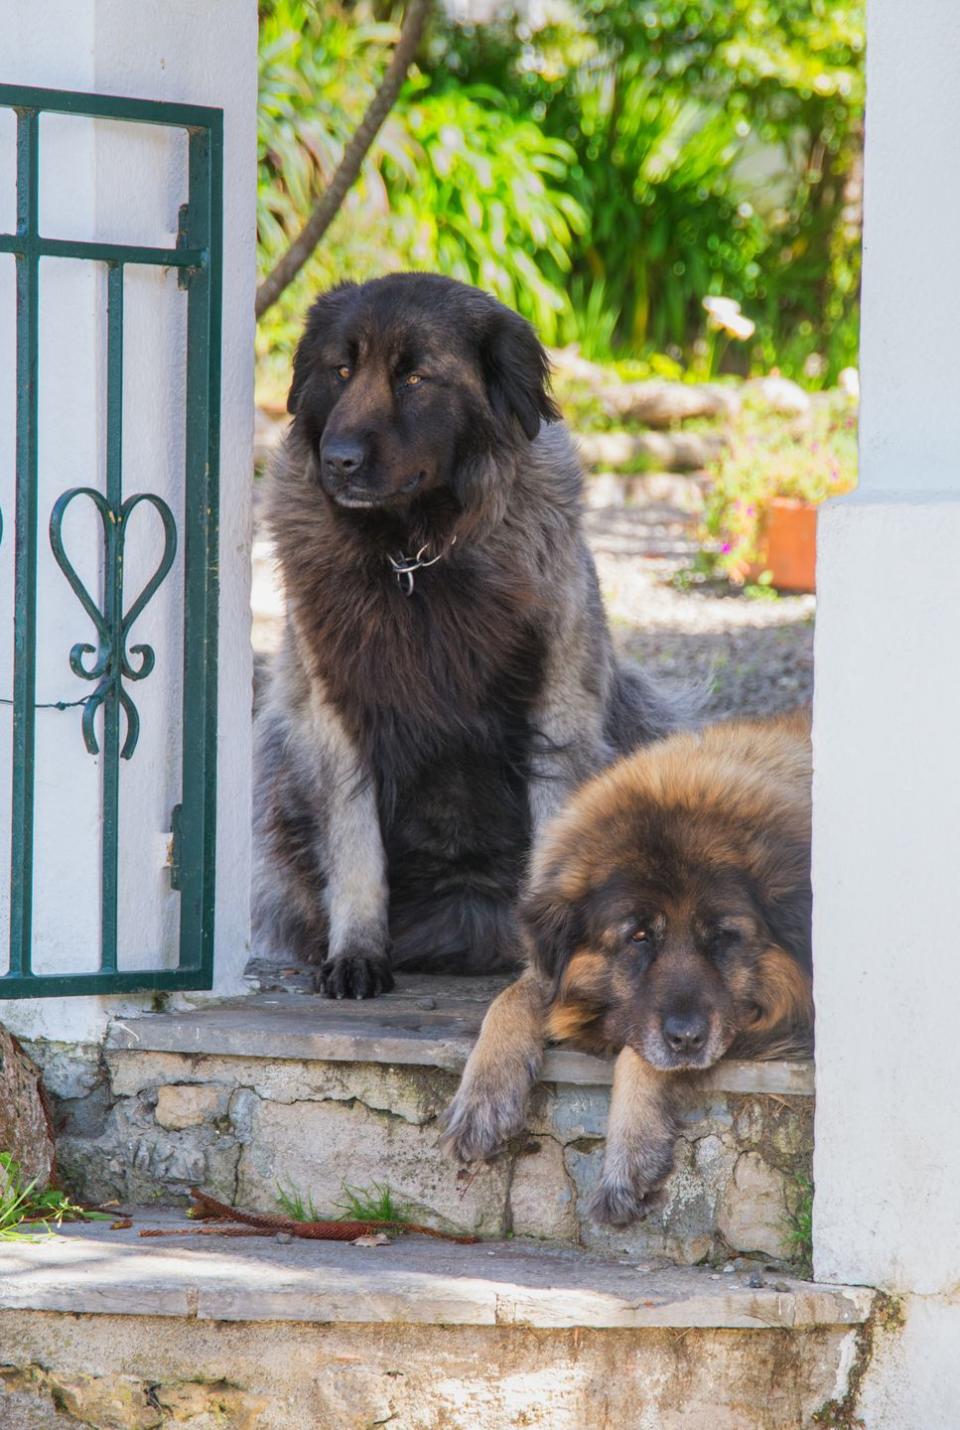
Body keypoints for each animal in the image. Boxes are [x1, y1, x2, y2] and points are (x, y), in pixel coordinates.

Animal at [440, 709, 812, 1224]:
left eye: (722, 937)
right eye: (638, 936)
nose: (687, 1038)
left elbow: (639, 1056)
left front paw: (629, 1154)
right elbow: (513, 996)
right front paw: (482, 1095)